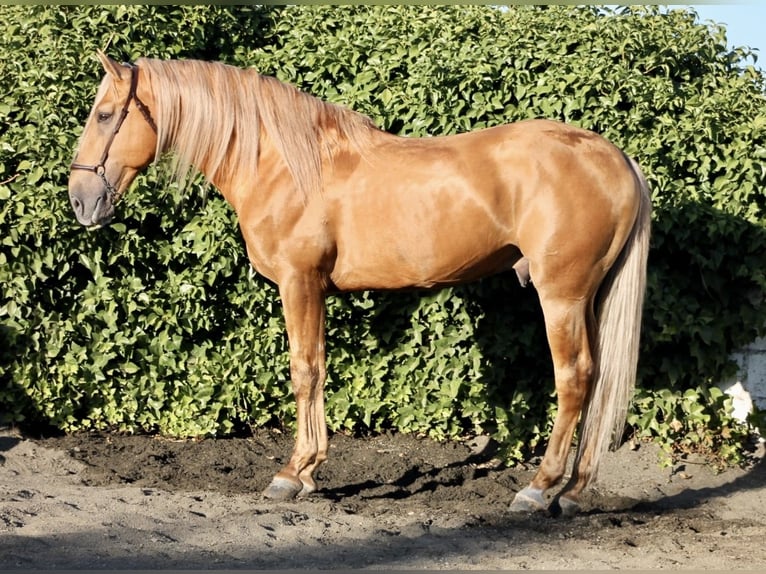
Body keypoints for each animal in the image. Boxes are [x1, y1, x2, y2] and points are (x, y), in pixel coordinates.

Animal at [68, 52, 651, 517]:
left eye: (104, 114)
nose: (80, 200)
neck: (282, 165)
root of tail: (616, 159)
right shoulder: (315, 290)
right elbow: (320, 370)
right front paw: (308, 471)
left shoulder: (299, 283)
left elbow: (304, 372)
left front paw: (293, 474)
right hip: (588, 300)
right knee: (598, 381)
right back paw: (572, 491)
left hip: (562, 297)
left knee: (574, 379)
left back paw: (537, 488)